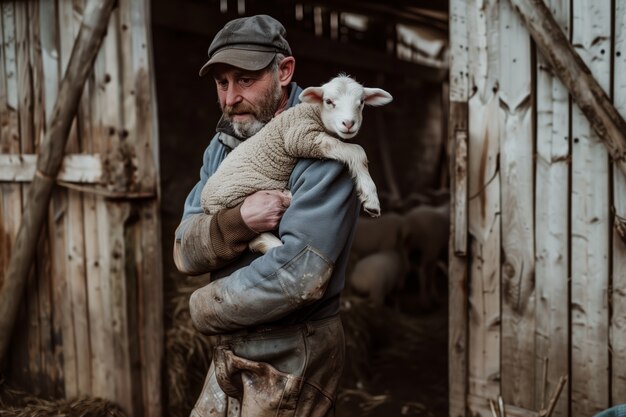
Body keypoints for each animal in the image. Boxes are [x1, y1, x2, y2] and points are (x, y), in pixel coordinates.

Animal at [200, 73, 390, 252]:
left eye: (362, 102)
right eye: (329, 101)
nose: (349, 124)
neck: (313, 111)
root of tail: (206, 203)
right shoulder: (301, 136)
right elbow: (357, 151)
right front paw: (371, 200)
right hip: (235, 196)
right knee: (255, 235)